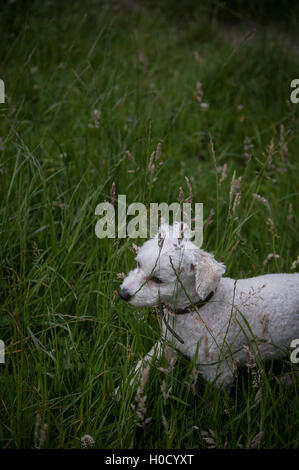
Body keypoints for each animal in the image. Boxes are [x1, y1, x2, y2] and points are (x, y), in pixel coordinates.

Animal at [119, 223, 299, 390]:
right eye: (138, 264)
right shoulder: (167, 343)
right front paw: (124, 388)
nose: (122, 294)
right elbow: (144, 365)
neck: (196, 309)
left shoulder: (219, 372)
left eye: (157, 280)